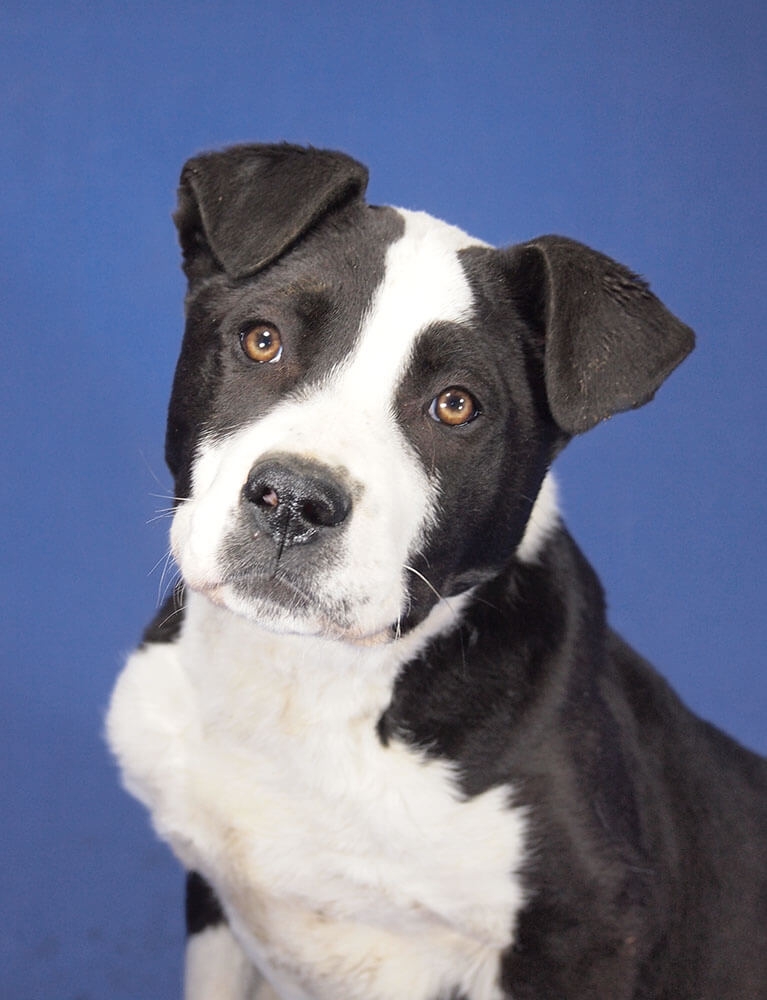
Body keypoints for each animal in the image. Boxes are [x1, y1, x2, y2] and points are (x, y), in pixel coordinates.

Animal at [107, 143, 767, 1000]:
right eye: (261, 340)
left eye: (455, 405)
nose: (292, 502)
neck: (303, 686)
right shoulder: (215, 909)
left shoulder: (588, 936)